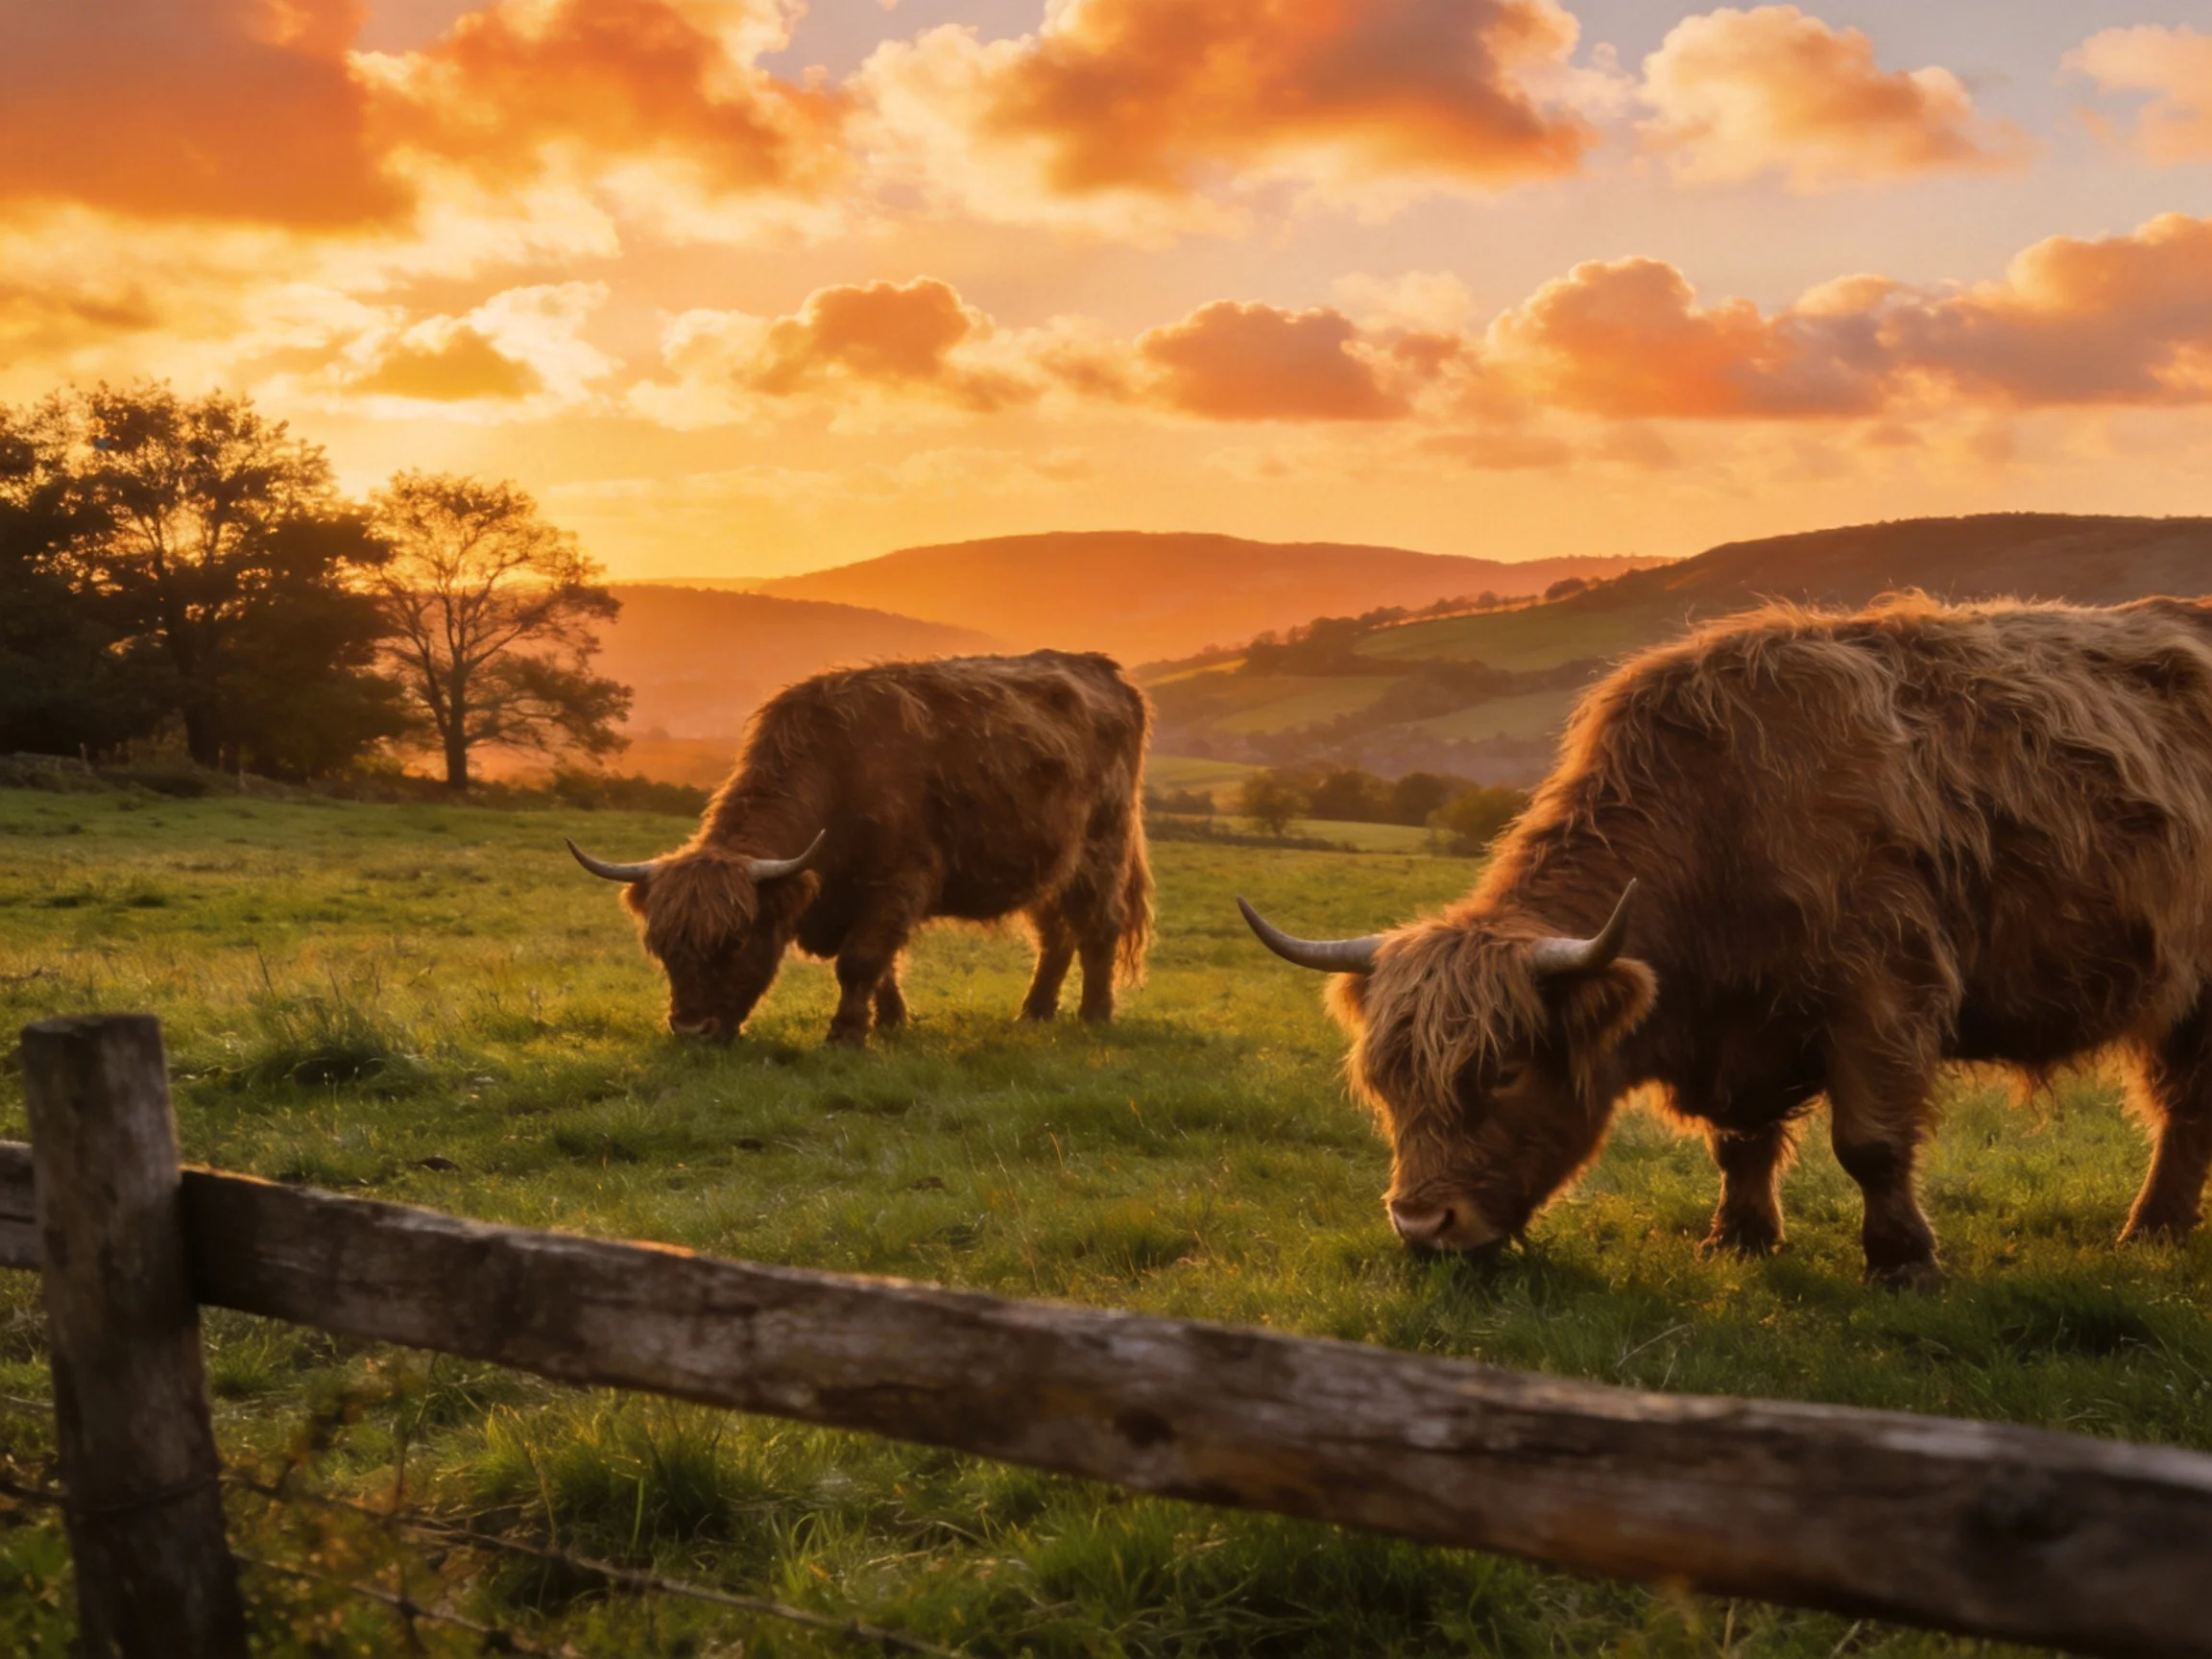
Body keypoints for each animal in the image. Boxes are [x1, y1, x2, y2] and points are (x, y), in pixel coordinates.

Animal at [568, 651, 1152, 1047]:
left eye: (734, 942)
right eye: (663, 948)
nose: (692, 1029)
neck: (837, 776)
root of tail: (1101, 669)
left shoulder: (897, 883)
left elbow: (862, 959)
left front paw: (846, 1034)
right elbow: (883, 965)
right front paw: (890, 1022)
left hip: (1102, 850)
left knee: (1098, 929)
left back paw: (1095, 1015)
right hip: (1048, 864)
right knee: (1056, 936)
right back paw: (1033, 1012)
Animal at [1239, 594, 2212, 1285]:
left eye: (1506, 1070)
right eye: (1385, 1080)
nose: (1421, 1226)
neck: (1723, 820)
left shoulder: (1884, 992)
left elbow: (1870, 1143)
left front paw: (1903, 1263)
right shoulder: (1742, 1026)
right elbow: (1739, 1142)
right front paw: (1738, 1240)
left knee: (2182, 1109)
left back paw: (2149, 1231)